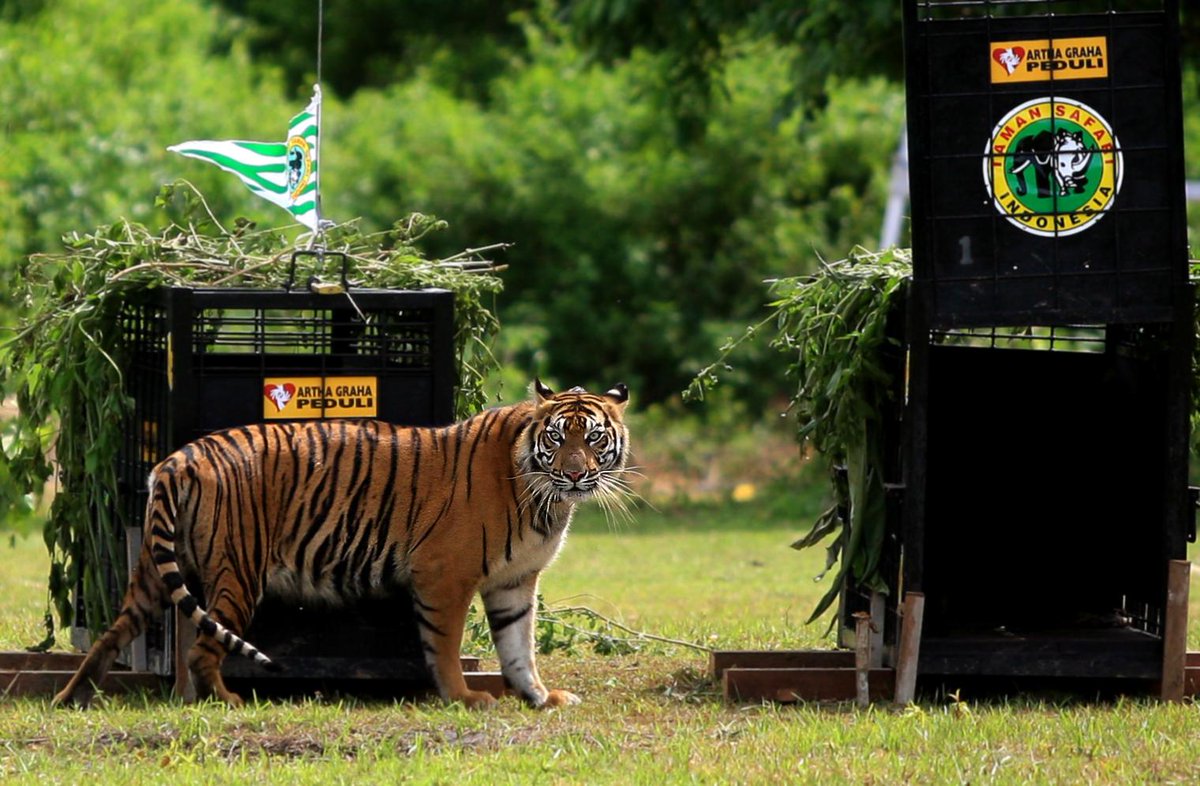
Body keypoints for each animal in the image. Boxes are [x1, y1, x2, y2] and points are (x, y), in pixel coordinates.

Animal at [54, 381, 638, 715]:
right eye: (557, 437)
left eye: (594, 438)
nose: (576, 474)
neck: (546, 501)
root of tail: (180, 457)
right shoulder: (445, 574)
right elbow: (447, 646)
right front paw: (465, 699)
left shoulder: (515, 582)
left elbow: (519, 649)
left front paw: (540, 698)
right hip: (239, 569)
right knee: (201, 647)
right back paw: (226, 701)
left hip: (154, 572)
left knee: (112, 634)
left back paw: (73, 698)